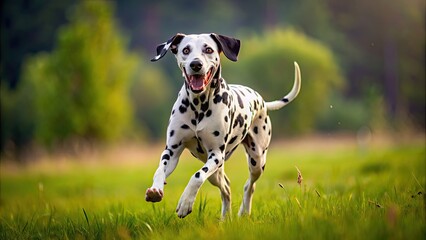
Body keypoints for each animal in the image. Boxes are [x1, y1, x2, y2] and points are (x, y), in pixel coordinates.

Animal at [146, 32, 302, 218]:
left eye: (208, 49)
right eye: (185, 50)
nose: (196, 64)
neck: (199, 106)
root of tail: (262, 100)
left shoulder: (216, 154)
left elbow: (197, 176)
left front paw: (185, 202)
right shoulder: (172, 150)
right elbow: (160, 169)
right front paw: (155, 190)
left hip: (256, 160)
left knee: (249, 185)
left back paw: (244, 212)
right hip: (216, 171)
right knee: (226, 187)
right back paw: (225, 218)